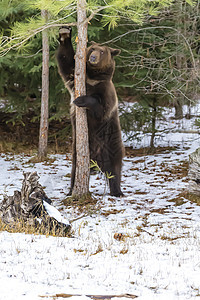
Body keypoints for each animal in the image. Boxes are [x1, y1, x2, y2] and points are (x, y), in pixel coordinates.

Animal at [56, 27, 124, 198]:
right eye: (92, 49)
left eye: (102, 51)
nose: (93, 57)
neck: (93, 77)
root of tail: (96, 160)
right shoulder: (75, 79)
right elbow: (66, 62)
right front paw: (65, 33)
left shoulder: (106, 90)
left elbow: (102, 108)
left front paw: (80, 100)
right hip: (77, 152)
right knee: (74, 171)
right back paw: (71, 191)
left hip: (111, 140)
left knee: (115, 168)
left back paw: (117, 191)